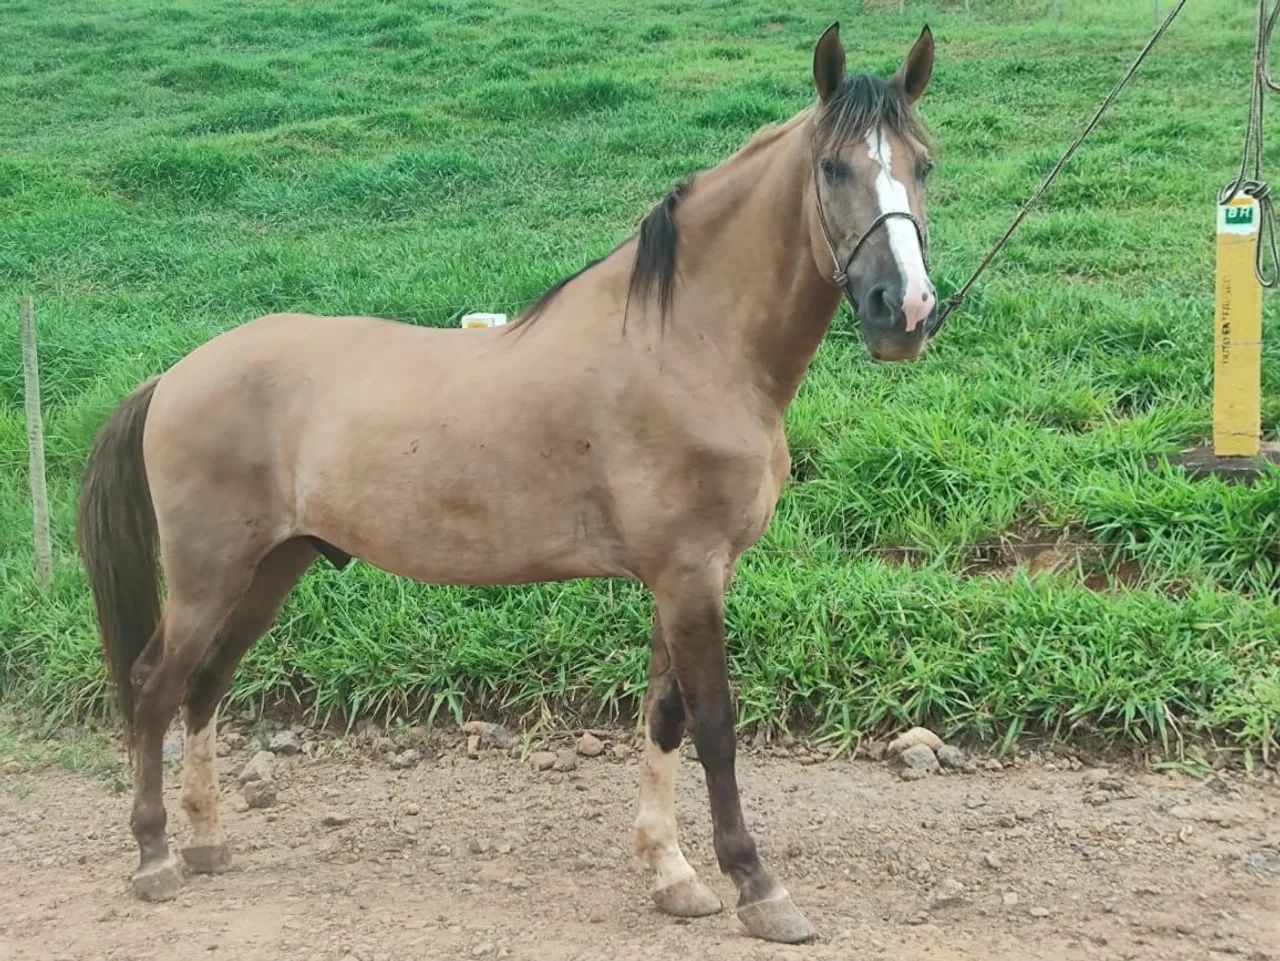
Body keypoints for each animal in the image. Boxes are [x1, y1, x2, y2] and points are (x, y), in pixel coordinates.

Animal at [77, 22, 938, 944]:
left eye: (924, 163)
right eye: (834, 168)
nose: (904, 310)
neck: (686, 346)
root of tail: (174, 376)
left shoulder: (682, 578)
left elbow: (665, 716)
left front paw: (671, 873)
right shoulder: (690, 573)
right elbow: (713, 723)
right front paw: (755, 883)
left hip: (272, 567)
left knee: (205, 683)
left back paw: (205, 842)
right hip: (209, 574)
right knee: (156, 684)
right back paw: (156, 855)